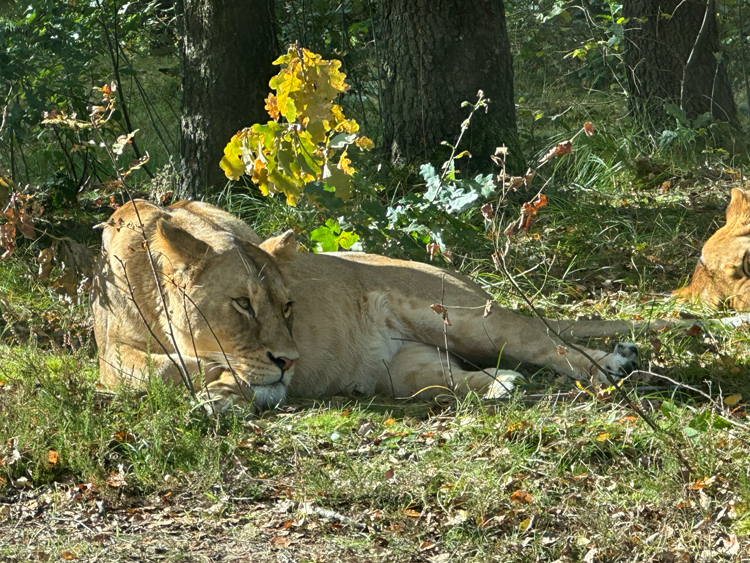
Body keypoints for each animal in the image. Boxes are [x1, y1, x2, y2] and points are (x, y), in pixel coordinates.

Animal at [89, 200, 640, 408]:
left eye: (288, 307)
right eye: (242, 304)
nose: (288, 361)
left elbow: (180, 366)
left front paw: (228, 388)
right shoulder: (109, 357)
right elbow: (163, 366)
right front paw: (227, 388)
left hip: (466, 318)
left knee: (549, 341)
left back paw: (617, 363)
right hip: (403, 370)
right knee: (462, 375)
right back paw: (501, 385)